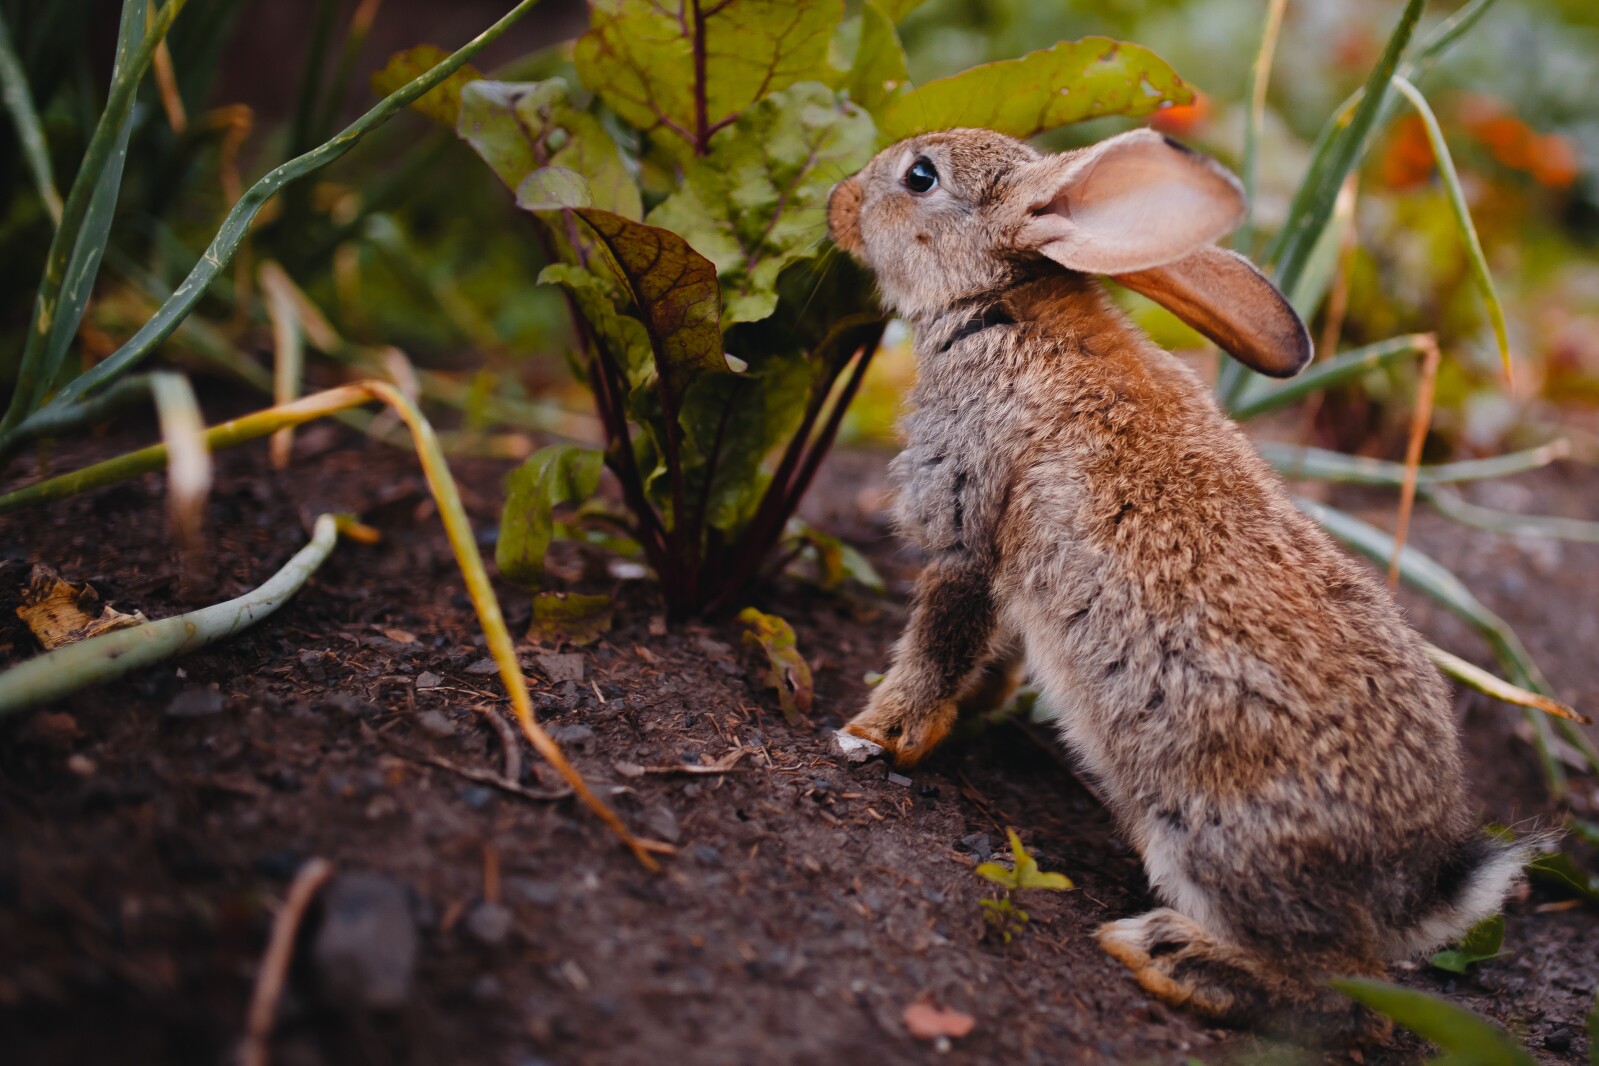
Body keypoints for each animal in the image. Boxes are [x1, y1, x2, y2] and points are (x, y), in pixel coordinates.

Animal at [826, 127, 1531, 1040]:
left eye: (920, 178)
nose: (838, 201)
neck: (1000, 302)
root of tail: (1419, 885)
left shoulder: (965, 526)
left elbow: (936, 644)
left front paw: (874, 733)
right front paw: (965, 716)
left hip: (1203, 832)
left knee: (1326, 986)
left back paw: (1166, 955)